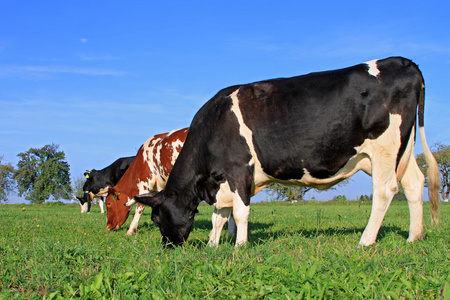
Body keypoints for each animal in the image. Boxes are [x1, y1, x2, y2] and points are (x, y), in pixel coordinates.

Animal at [130, 57, 440, 247]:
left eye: (156, 218)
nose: (168, 247)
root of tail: (403, 62)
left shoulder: (239, 167)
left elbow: (239, 212)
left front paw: (239, 246)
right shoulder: (222, 180)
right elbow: (220, 215)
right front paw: (212, 245)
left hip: (385, 148)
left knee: (385, 191)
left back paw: (365, 241)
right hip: (400, 150)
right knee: (414, 182)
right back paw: (414, 237)